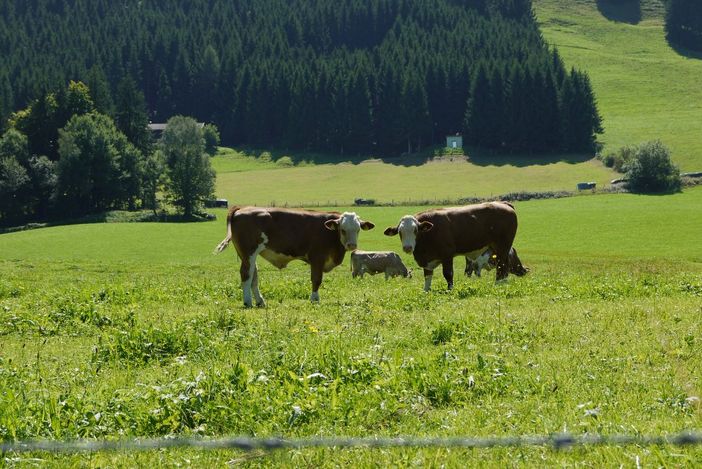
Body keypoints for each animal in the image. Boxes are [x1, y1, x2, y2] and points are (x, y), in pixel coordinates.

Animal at [216, 207, 376, 306]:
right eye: (343, 230)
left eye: (358, 229)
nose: (352, 245)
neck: (331, 233)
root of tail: (241, 208)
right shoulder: (317, 257)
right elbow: (316, 279)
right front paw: (314, 299)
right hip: (248, 252)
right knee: (246, 275)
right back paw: (248, 302)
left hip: (249, 255)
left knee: (253, 275)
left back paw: (260, 301)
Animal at [384, 201, 524, 288]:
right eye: (400, 232)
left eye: (415, 230)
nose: (407, 247)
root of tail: (503, 204)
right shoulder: (427, 260)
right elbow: (427, 277)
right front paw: (426, 291)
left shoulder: (447, 255)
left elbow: (448, 274)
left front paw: (450, 290)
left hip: (503, 246)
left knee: (503, 266)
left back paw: (499, 284)